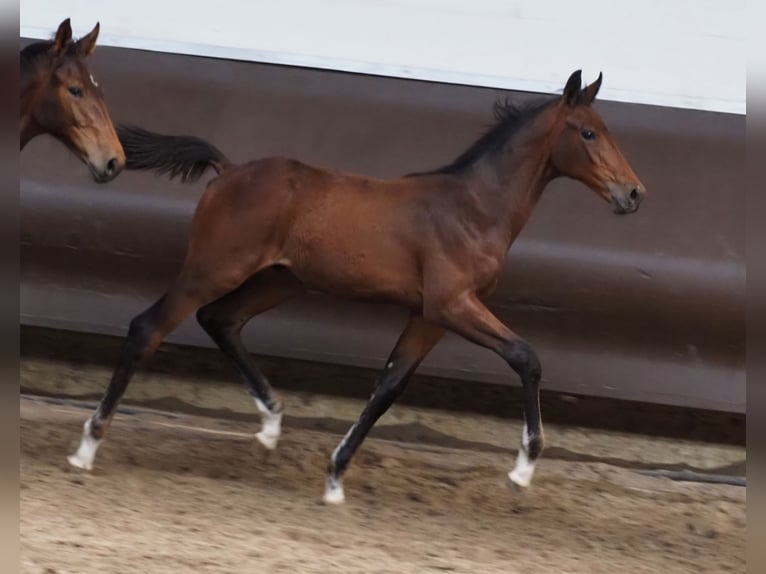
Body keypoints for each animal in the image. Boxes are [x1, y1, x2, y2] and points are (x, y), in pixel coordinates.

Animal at [69, 70, 648, 506]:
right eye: (589, 133)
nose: (634, 193)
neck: (474, 208)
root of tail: (229, 171)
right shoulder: (453, 304)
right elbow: (526, 357)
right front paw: (523, 468)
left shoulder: (428, 316)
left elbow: (388, 387)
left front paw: (334, 479)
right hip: (214, 267)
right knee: (149, 326)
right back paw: (87, 449)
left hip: (280, 279)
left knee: (221, 320)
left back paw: (271, 424)